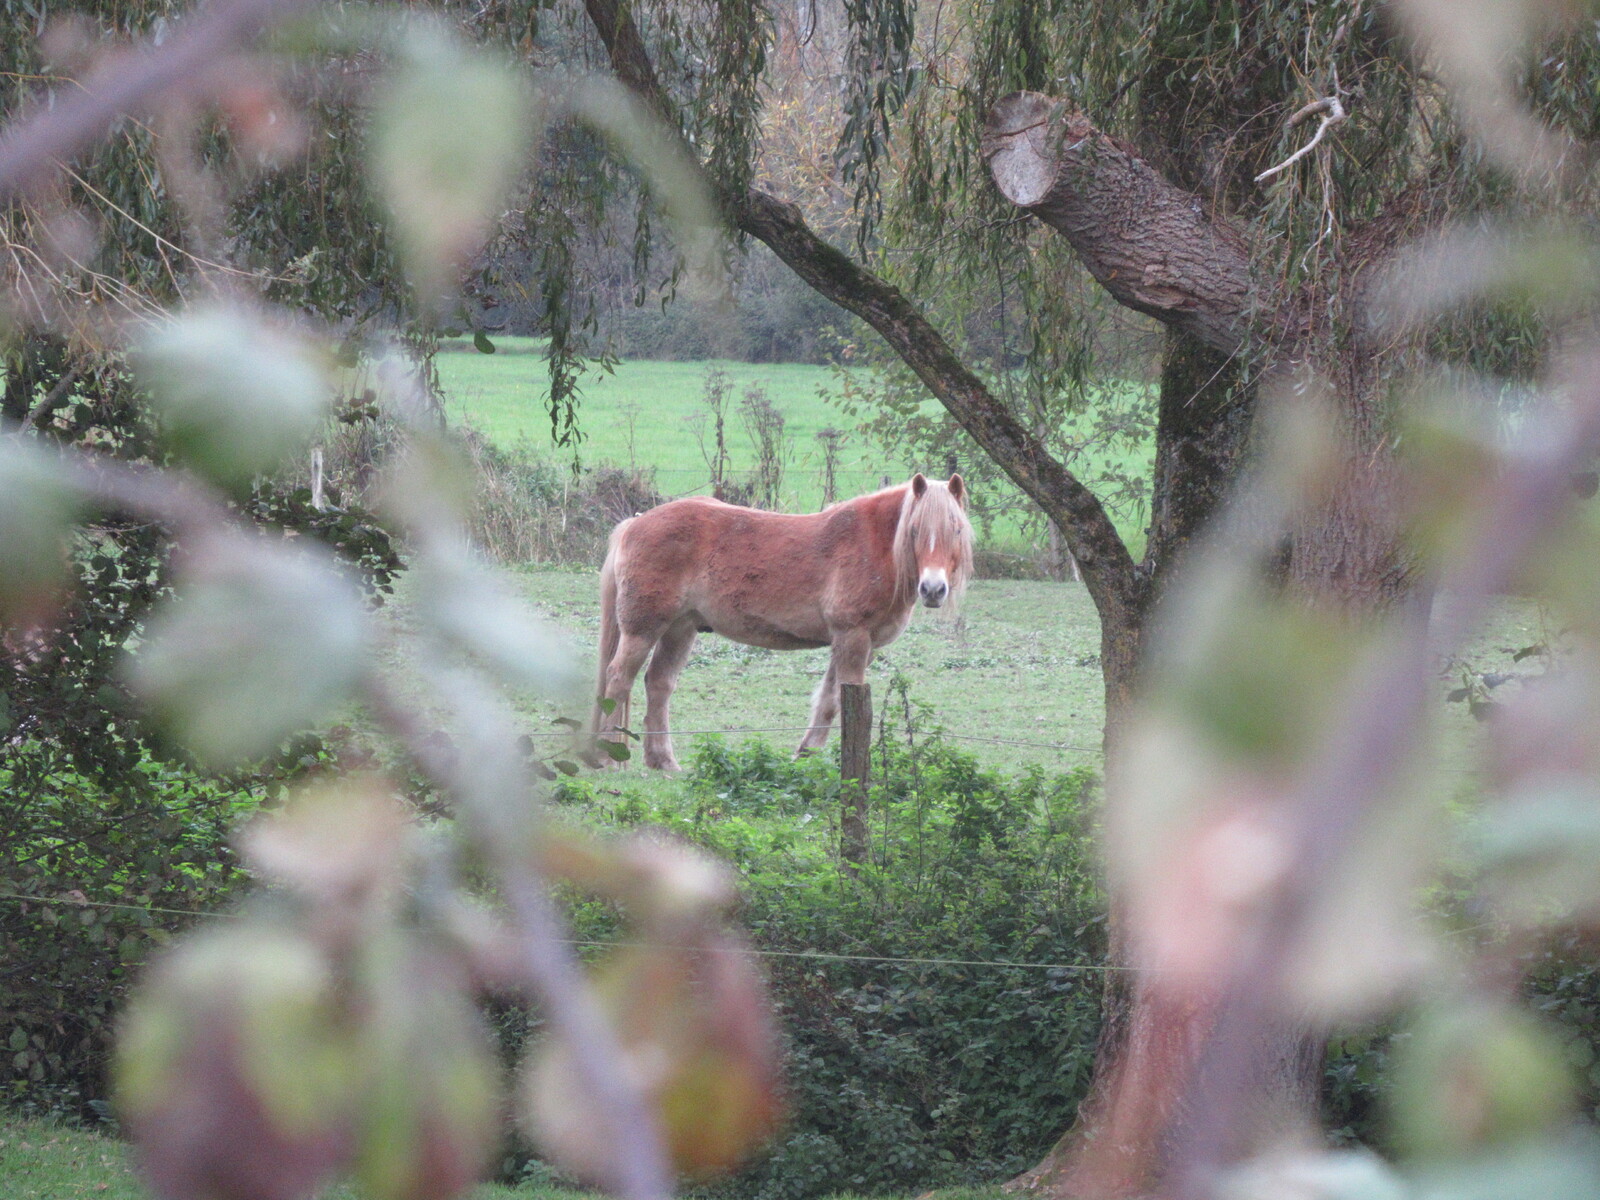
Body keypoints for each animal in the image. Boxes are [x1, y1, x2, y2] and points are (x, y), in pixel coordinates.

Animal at [598, 473, 972, 771]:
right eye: (915, 530)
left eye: (955, 530)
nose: (933, 589)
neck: (875, 545)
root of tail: (634, 523)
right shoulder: (853, 637)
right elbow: (841, 699)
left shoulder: (857, 643)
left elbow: (829, 701)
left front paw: (805, 756)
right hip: (643, 629)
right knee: (618, 679)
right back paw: (607, 758)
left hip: (680, 629)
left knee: (658, 684)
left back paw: (663, 762)